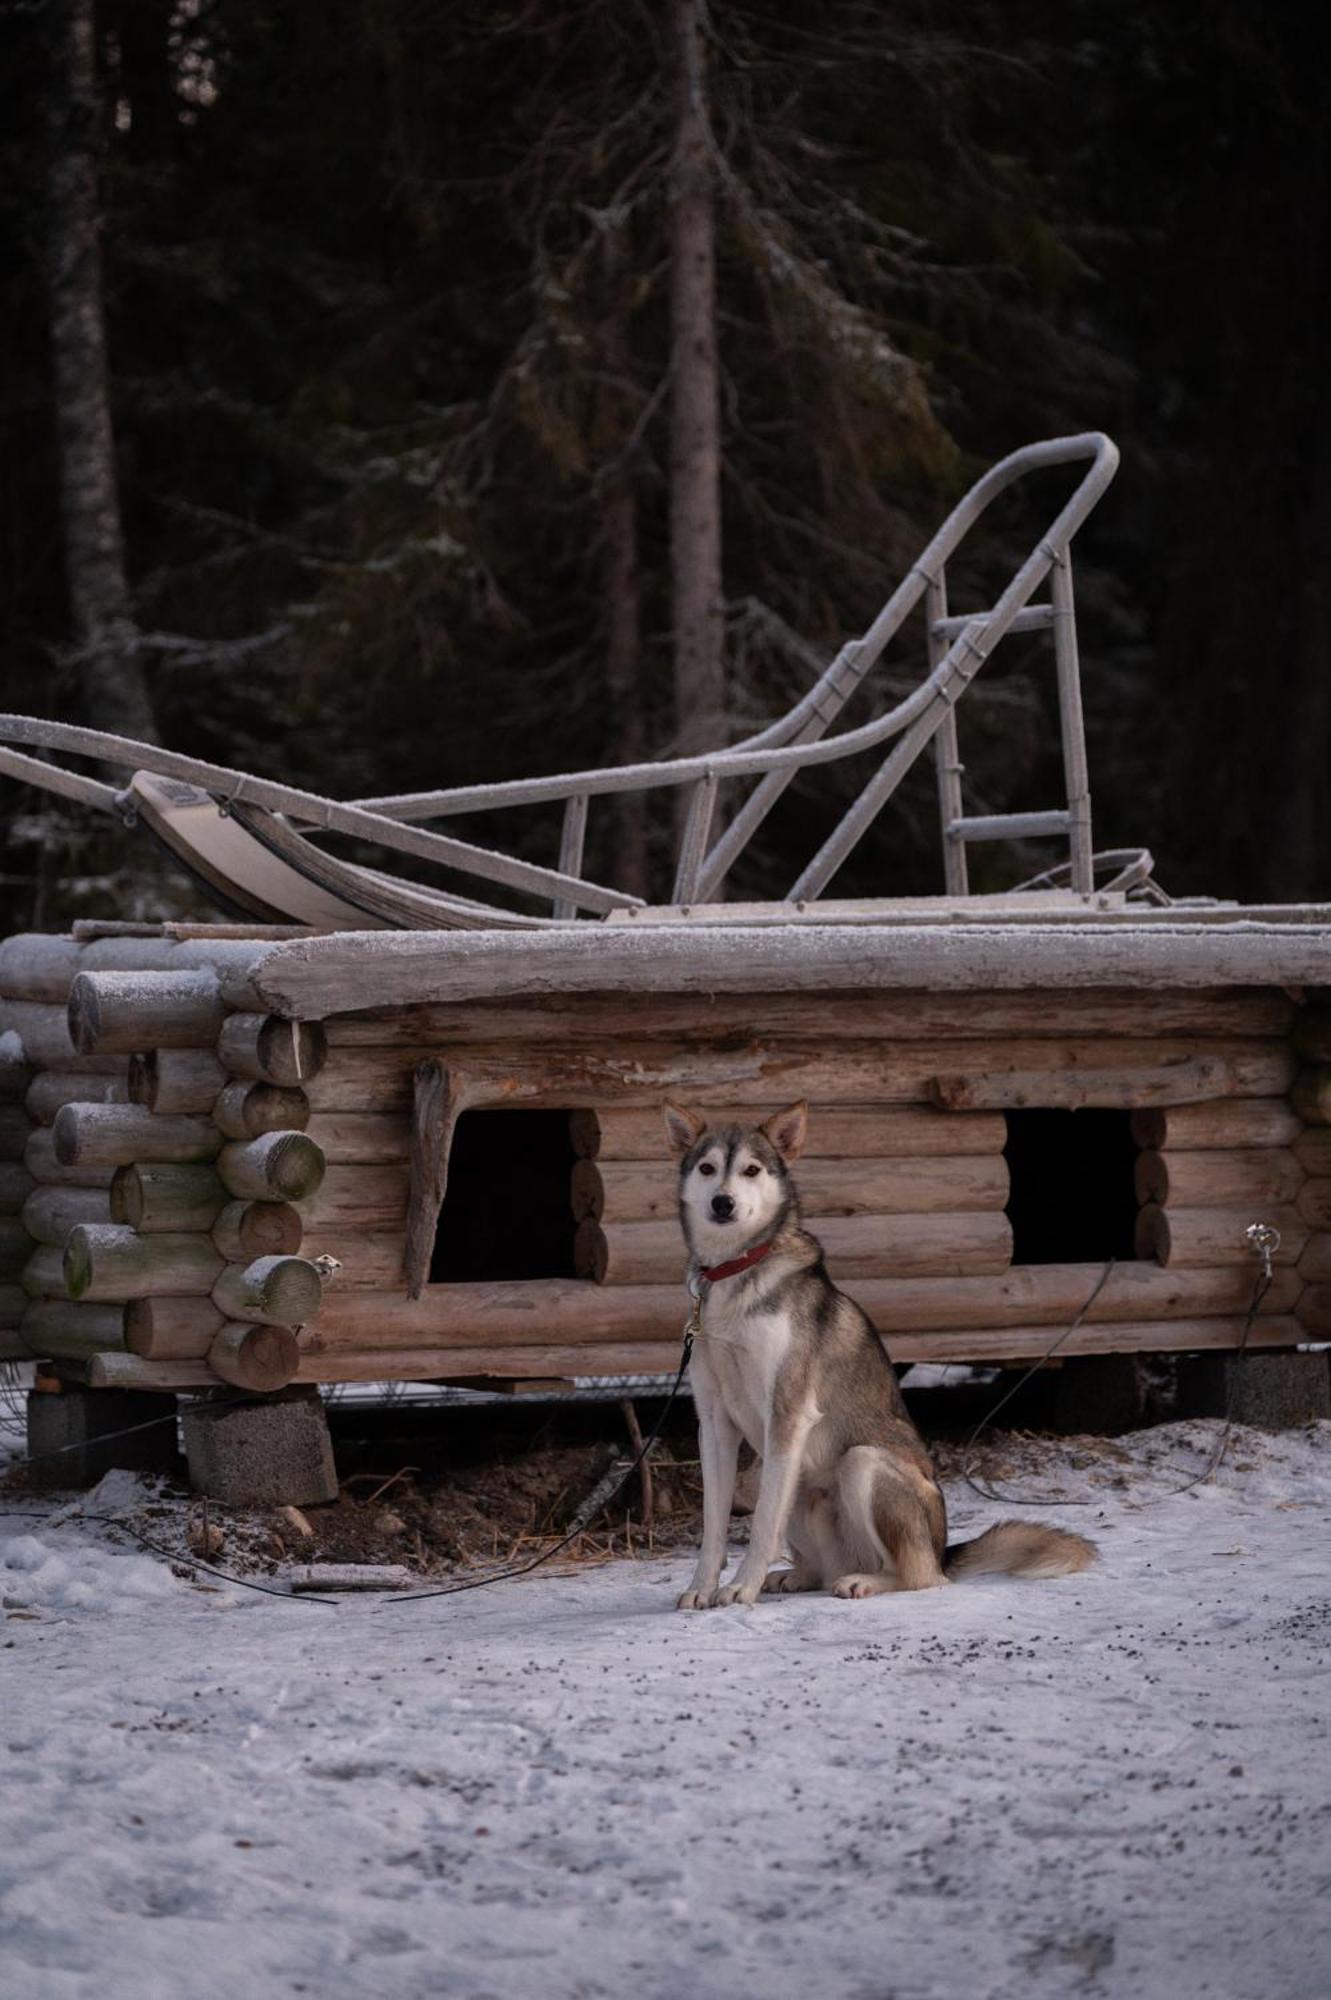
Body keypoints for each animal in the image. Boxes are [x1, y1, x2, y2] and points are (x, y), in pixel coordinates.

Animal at [663, 1104, 1087, 1600]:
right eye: (707, 1169)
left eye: (751, 1170)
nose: (722, 1203)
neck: (732, 1274)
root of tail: (942, 1548)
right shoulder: (714, 1422)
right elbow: (713, 1524)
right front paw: (702, 1588)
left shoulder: (788, 1414)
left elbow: (764, 1525)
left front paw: (739, 1590)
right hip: (785, 1478)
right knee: (820, 1567)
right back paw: (796, 1575)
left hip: (861, 1464)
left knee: (920, 1575)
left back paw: (864, 1580)